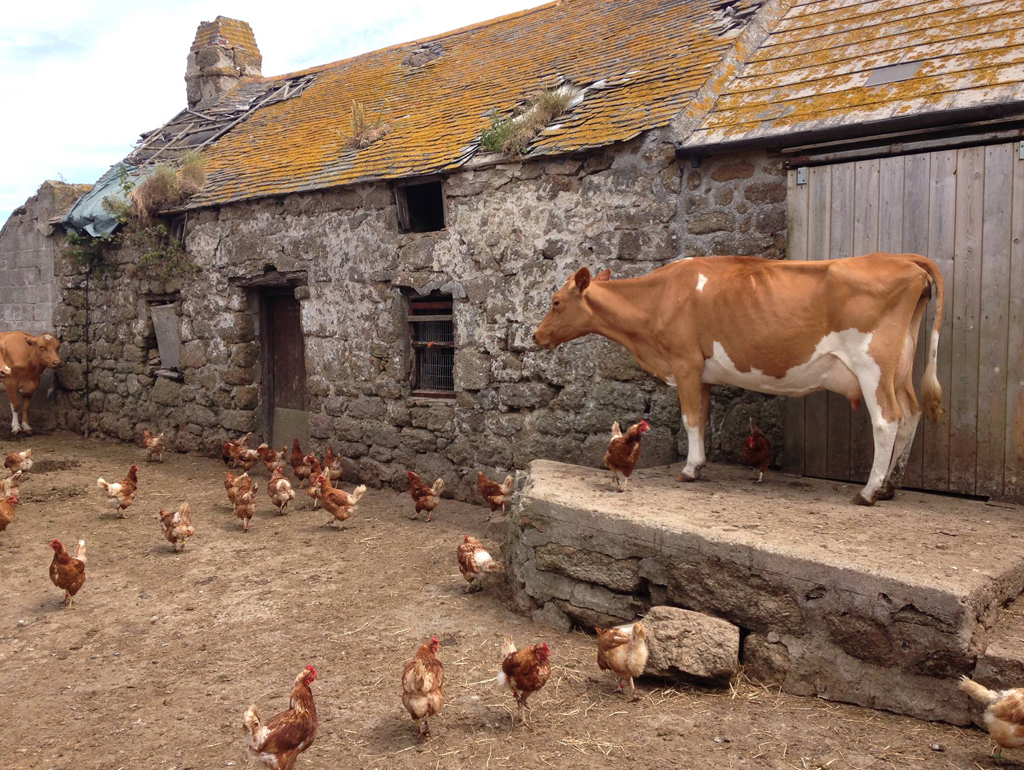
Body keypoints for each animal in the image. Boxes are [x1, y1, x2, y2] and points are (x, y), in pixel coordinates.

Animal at [532, 252, 946, 505]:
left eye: (555, 302)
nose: (535, 335)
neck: (658, 299)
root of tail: (900, 258)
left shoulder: (684, 361)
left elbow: (690, 418)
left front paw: (689, 470)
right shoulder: (702, 372)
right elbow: (702, 416)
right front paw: (699, 464)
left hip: (872, 364)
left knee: (887, 420)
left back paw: (870, 491)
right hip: (900, 367)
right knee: (911, 413)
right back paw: (891, 485)